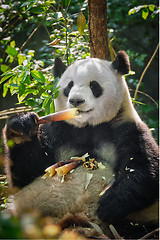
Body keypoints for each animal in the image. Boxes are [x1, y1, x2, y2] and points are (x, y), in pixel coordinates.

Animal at [2, 51, 159, 238]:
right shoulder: (58, 130)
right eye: (69, 85)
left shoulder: (127, 127)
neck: (88, 126)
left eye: (94, 85)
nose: (76, 101)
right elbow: (26, 174)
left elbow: (144, 169)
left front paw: (107, 204)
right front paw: (20, 128)